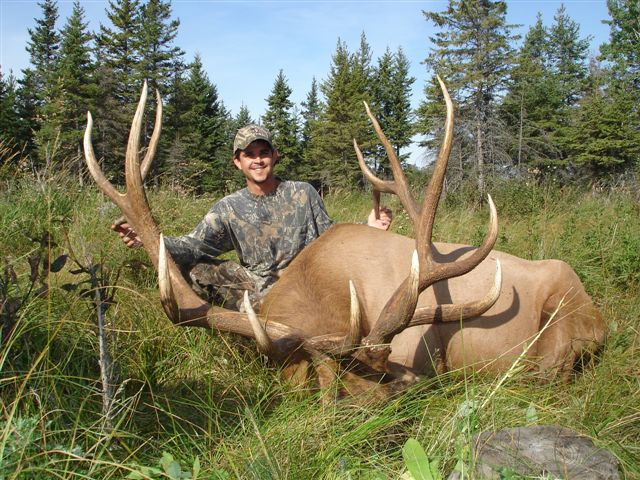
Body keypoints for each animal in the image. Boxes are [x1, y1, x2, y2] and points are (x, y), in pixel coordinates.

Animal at [83, 78, 605, 399]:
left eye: (384, 372)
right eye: (327, 386)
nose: (405, 394)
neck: (329, 291)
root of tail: (601, 315)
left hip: (567, 321)